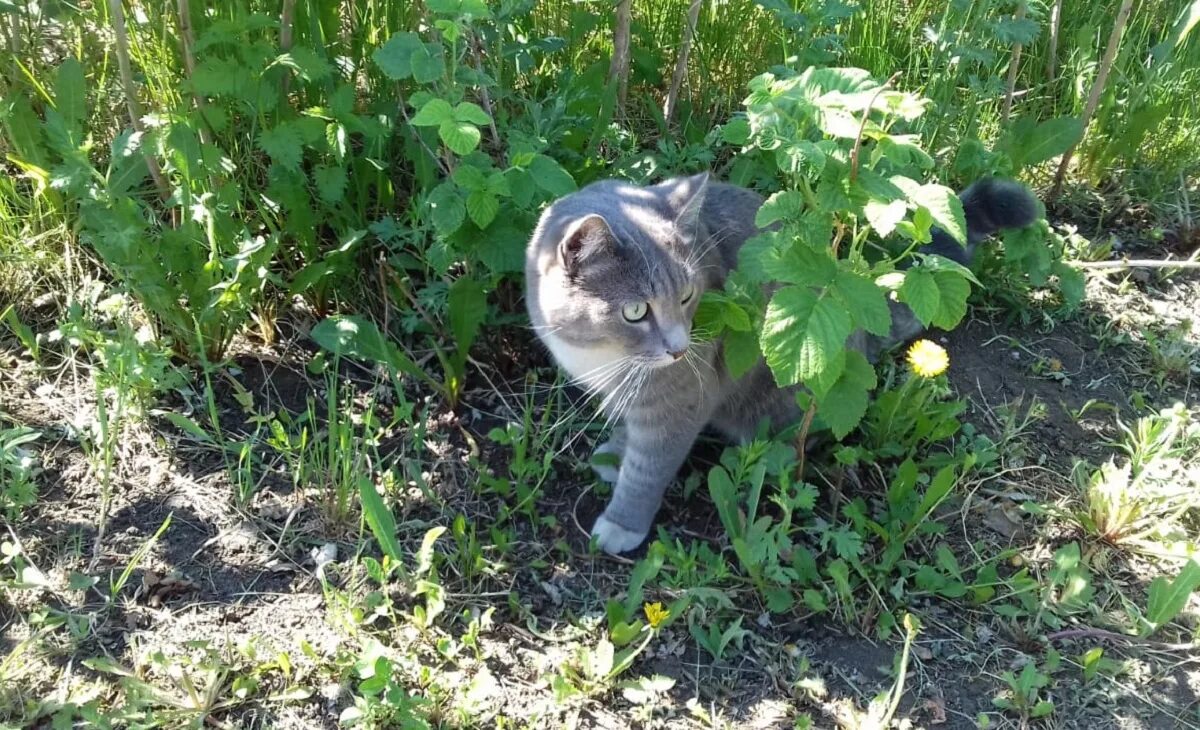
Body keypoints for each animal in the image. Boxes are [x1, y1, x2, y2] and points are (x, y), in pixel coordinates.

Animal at [525, 175, 1041, 552]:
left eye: (688, 296)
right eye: (635, 311)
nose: (677, 347)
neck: (603, 353)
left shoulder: (681, 396)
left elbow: (649, 465)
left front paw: (622, 522)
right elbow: (626, 425)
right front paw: (615, 450)